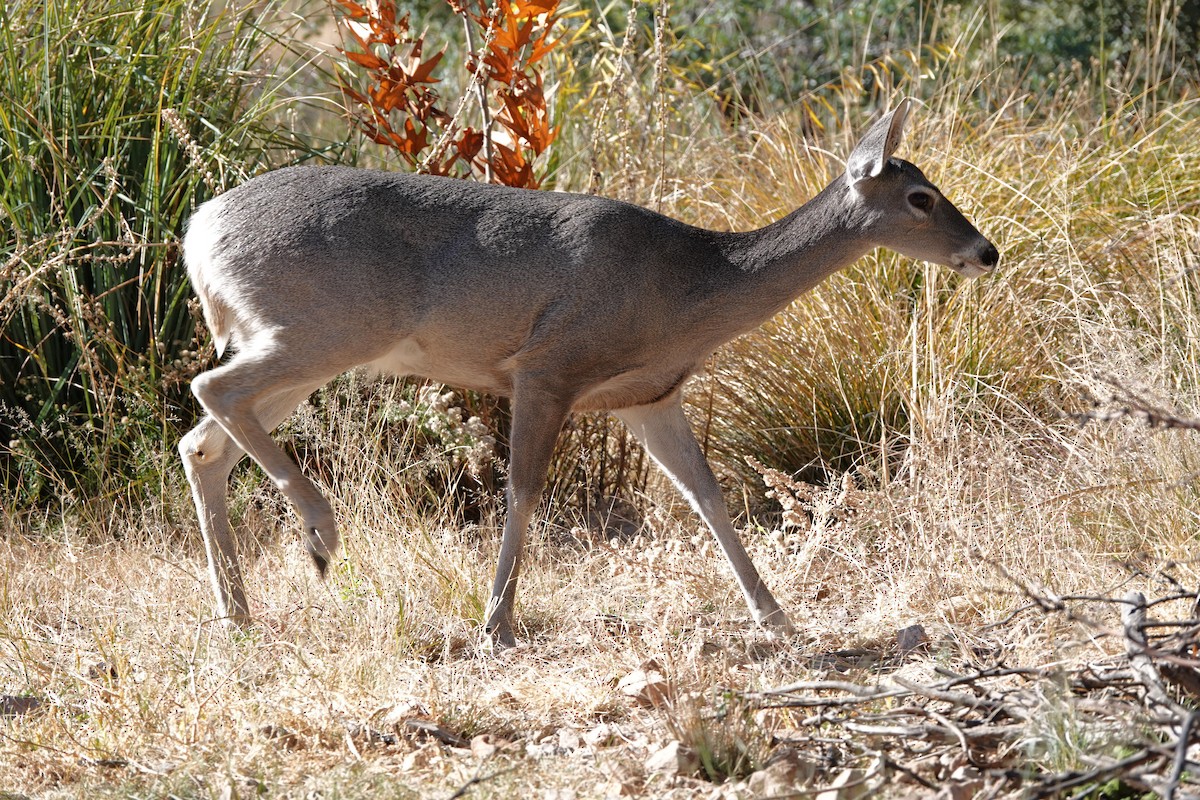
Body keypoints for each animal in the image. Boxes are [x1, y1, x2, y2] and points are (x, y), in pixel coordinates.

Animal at [179, 98, 998, 648]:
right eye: (921, 197)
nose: (985, 252)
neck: (690, 286)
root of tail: (198, 230)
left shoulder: (648, 394)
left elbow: (707, 495)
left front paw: (777, 617)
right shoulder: (548, 365)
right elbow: (522, 490)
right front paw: (497, 623)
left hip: (298, 349)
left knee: (204, 442)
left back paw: (237, 610)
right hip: (323, 329)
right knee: (210, 390)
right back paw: (318, 533)